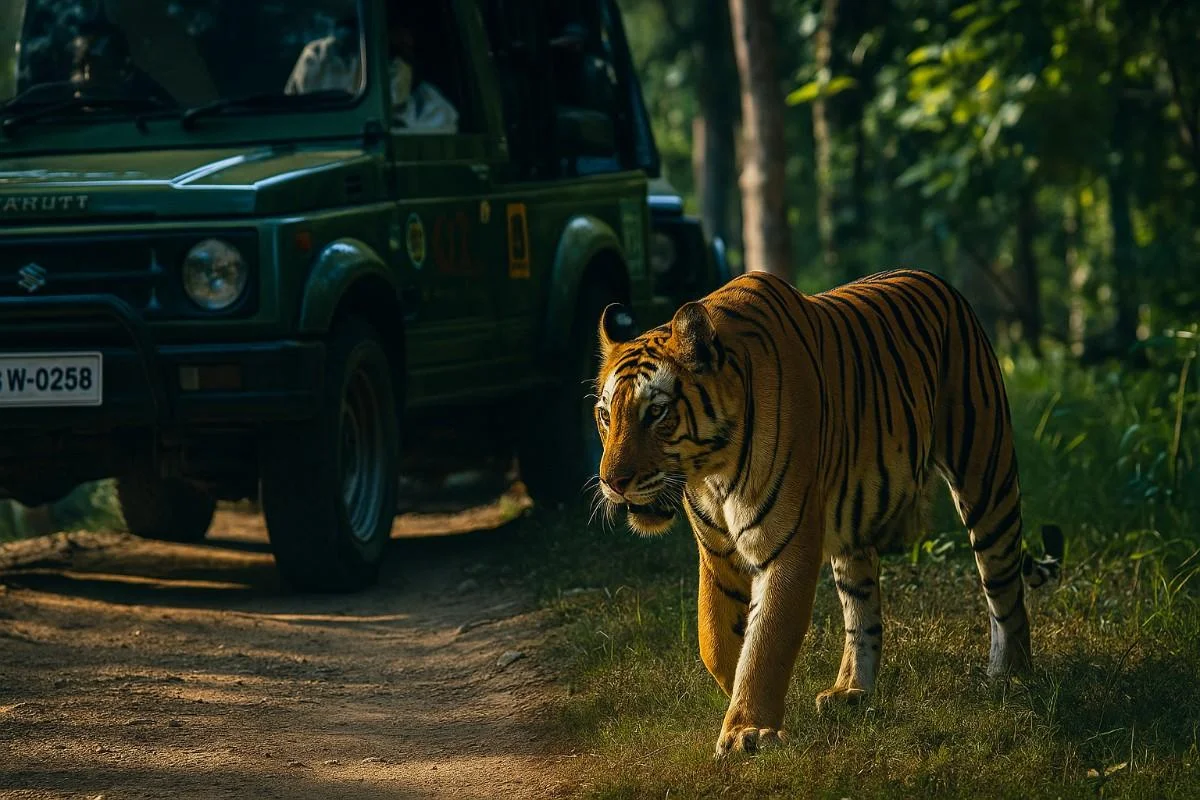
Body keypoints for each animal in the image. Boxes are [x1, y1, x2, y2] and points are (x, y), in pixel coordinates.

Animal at [591, 268, 1064, 757]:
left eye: (656, 412)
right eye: (606, 415)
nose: (612, 481)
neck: (711, 471)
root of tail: (939, 282)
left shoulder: (788, 546)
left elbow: (768, 639)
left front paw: (747, 730)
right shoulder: (717, 553)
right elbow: (714, 640)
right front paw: (742, 703)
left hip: (986, 476)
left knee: (1005, 588)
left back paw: (1010, 675)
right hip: (852, 530)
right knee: (862, 610)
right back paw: (852, 691)